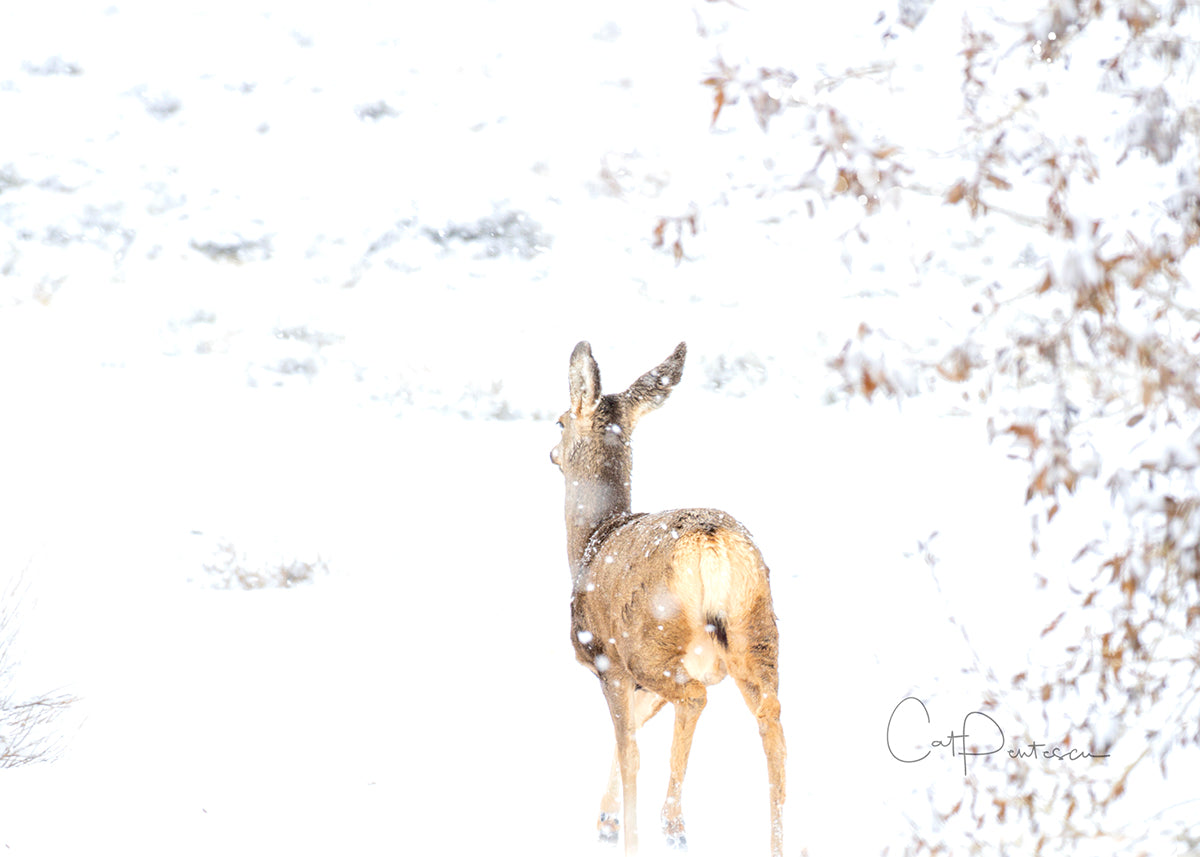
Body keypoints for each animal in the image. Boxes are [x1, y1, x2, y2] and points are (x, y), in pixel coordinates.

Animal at [547, 343, 787, 854]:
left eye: (559, 421)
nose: (551, 452)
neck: (590, 542)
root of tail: (713, 544)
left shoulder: (608, 662)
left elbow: (629, 748)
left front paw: (620, 830)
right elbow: (635, 730)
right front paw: (605, 820)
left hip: (652, 643)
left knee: (693, 701)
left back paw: (674, 822)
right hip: (756, 630)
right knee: (770, 718)